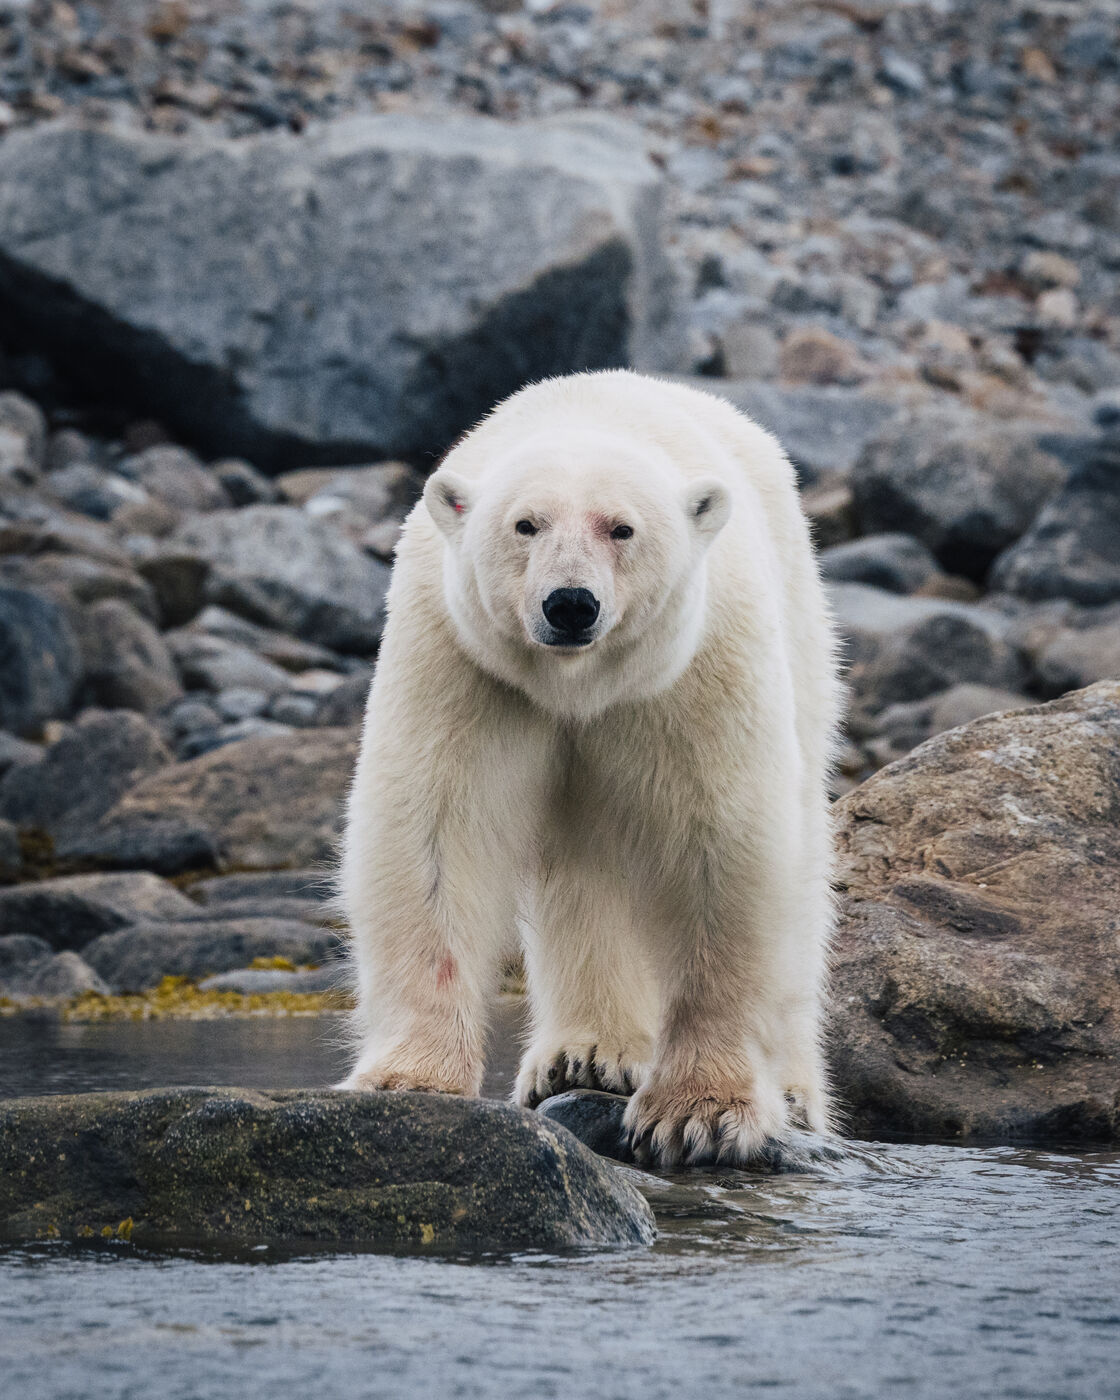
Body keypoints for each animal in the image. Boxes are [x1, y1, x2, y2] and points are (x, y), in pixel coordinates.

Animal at [338, 369, 842, 1167]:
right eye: (525, 525)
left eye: (622, 528)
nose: (570, 604)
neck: (577, 685)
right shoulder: (462, 661)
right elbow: (435, 833)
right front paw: (406, 1081)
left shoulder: (695, 670)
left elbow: (724, 850)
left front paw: (700, 1114)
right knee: (585, 867)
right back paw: (584, 1056)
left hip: (801, 626)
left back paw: (793, 1092)